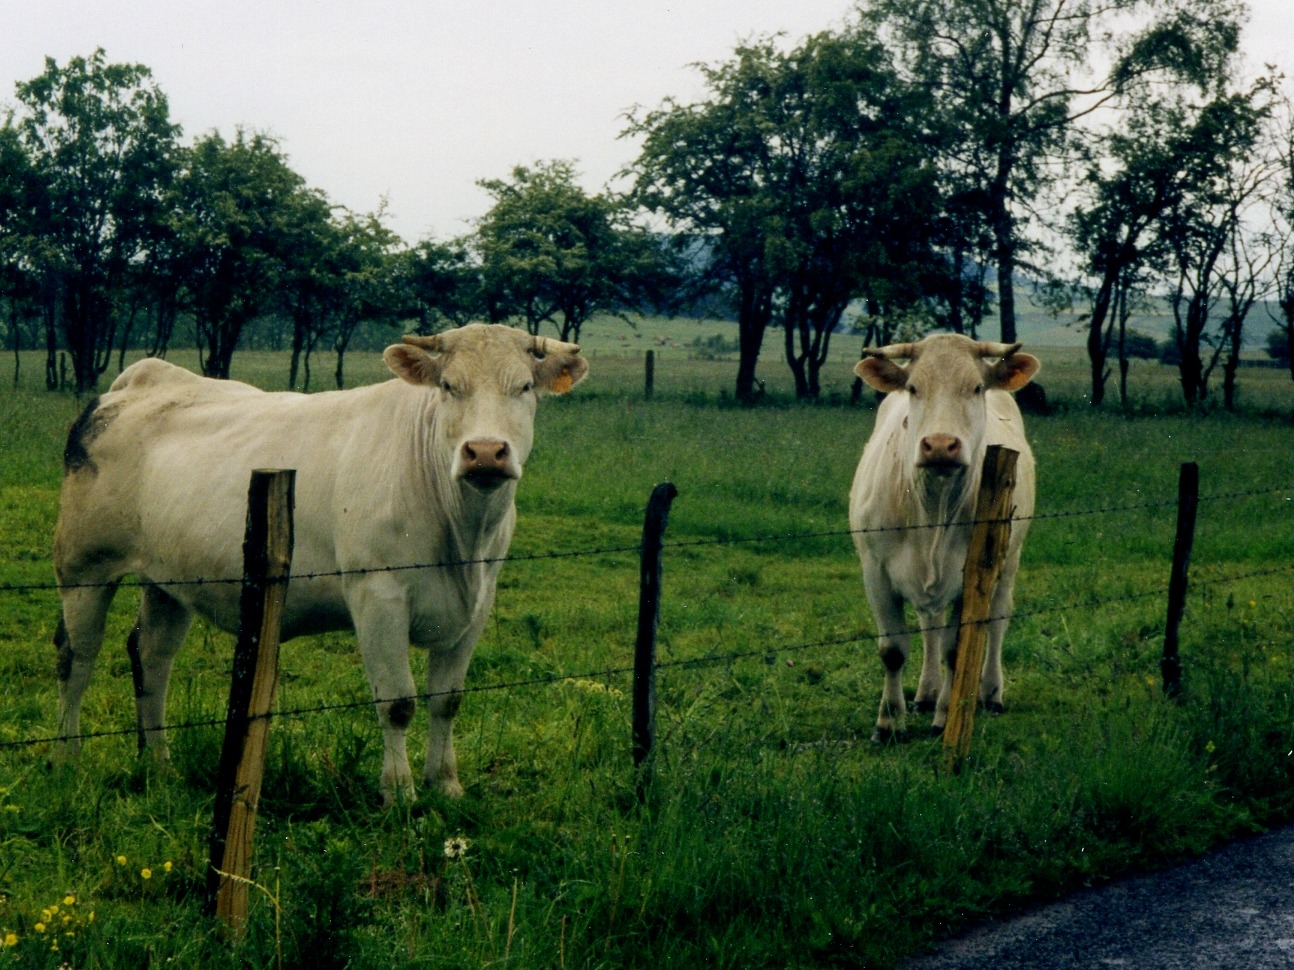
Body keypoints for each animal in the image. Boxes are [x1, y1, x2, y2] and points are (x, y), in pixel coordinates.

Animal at [53, 327, 590, 807]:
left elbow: (447, 699)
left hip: (168, 579)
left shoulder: (477, 604)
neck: (463, 537)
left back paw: (159, 766)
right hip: (82, 568)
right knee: (76, 659)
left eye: (524, 387)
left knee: (152, 657)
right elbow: (397, 703)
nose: (485, 452)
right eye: (448, 386)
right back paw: (68, 761)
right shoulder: (377, 596)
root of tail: (139, 381)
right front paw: (401, 794)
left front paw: (447, 785)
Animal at [848, 333, 1040, 744]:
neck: (932, 509)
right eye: (913, 388)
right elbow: (893, 649)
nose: (939, 445)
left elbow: (957, 649)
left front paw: (943, 717)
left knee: (997, 622)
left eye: (977, 387)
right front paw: (889, 722)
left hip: (1009, 560)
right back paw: (925, 692)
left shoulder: (971, 577)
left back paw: (990, 693)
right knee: (929, 625)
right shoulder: (875, 571)